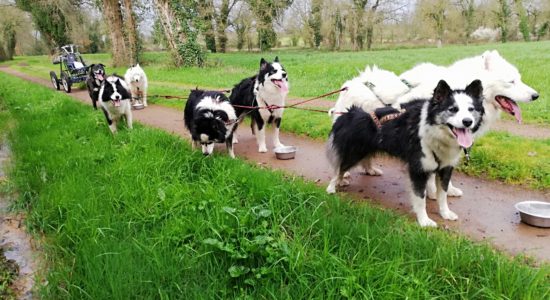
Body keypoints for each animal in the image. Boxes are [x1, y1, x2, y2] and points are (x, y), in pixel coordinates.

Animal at [326, 79, 486, 227]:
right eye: (453, 109)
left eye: (471, 109)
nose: (467, 122)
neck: (433, 130)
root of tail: (349, 113)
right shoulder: (418, 168)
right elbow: (420, 198)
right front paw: (424, 221)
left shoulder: (446, 168)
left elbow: (443, 195)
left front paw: (445, 213)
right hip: (354, 153)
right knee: (339, 168)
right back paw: (332, 186)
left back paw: (368, 171)